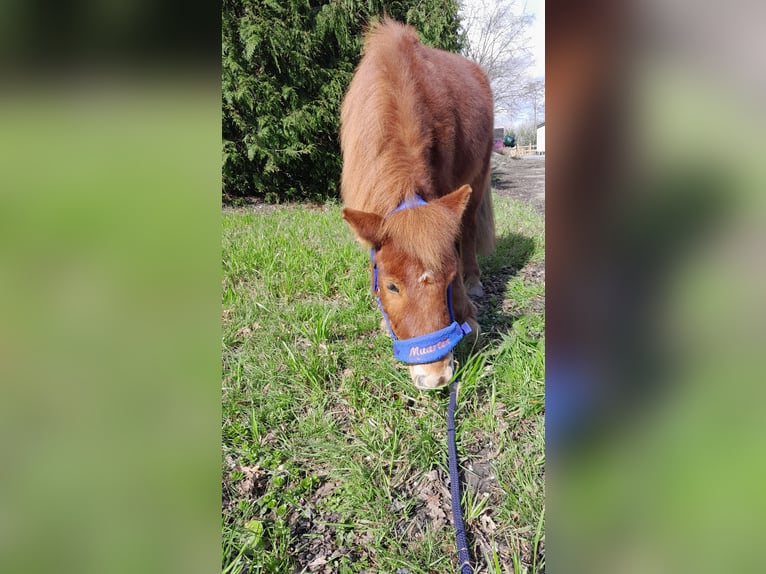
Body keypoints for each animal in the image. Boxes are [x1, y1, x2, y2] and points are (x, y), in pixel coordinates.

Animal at [344, 21, 498, 392]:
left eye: (449, 279)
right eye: (391, 286)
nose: (435, 376)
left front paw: (467, 311)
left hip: (479, 175)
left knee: (468, 227)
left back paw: (475, 280)